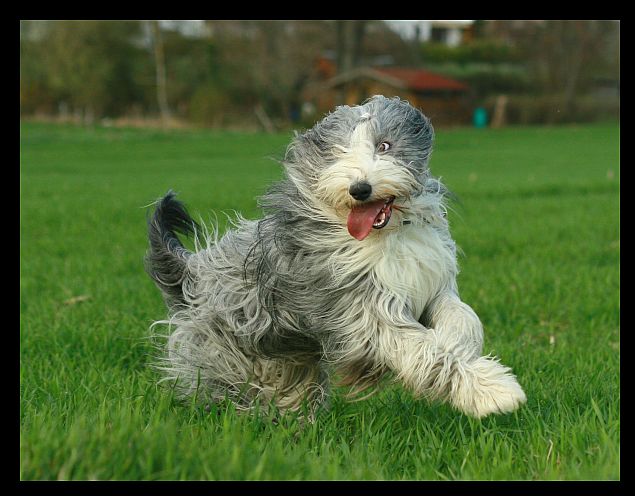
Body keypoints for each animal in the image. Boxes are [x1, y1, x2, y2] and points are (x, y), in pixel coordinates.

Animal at [145, 96, 528, 418]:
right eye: (337, 154)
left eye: (384, 145)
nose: (360, 188)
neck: (384, 237)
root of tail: (193, 271)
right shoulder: (366, 312)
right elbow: (424, 351)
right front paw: (493, 391)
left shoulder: (430, 282)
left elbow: (462, 317)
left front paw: (460, 344)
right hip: (228, 355)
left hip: (286, 357)